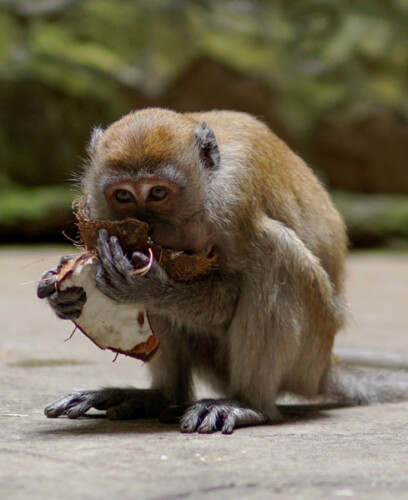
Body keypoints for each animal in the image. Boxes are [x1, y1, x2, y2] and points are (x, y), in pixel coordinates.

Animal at [36, 108, 408, 434]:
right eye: (124, 196)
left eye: (158, 192)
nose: (146, 227)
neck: (206, 189)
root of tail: (325, 366)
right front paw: (60, 295)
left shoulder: (235, 198)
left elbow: (230, 295)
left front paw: (149, 290)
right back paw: (160, 397)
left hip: (309, 352)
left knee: (275, 252)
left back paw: (248, 403)